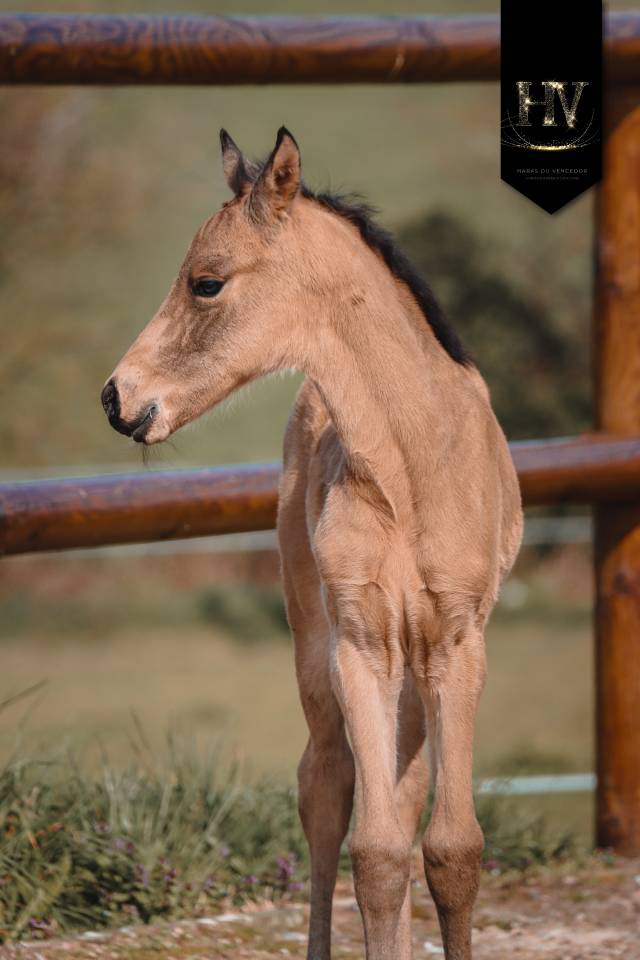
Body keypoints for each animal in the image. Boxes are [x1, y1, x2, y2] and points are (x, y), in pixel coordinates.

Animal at [101, 127, 523, 960]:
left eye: (206, 283)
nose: (117, 398)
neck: (412, 466)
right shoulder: (359, 643)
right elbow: (377, 850)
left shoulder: (458, 644)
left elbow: (451, 848)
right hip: (317, 649)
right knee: (325, 787)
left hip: (411, 671)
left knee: (404, 790)